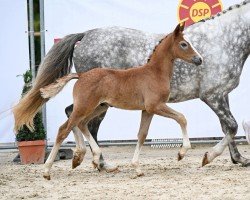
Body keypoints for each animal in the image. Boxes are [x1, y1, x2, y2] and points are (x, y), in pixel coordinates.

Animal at [40, 23, 202, 180]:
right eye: (183, 44)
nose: (199, 59)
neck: (154, 73)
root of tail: (81, 75)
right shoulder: (155, 106)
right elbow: (181, 118)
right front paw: (181, 153)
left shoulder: (147, 110)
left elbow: (142, 135)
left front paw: (137, 168)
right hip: (84, 106)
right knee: (64, 129)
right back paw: (47, 170)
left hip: (99, 107)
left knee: (81, 123)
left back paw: (92, 158)